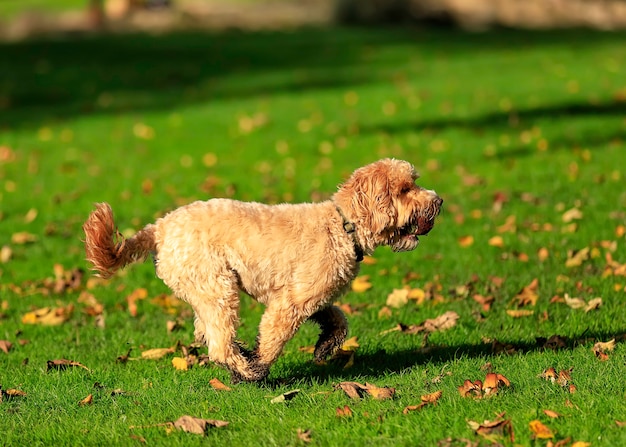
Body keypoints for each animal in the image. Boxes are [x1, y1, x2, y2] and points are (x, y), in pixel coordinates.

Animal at [83, 159, 442, 384]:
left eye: (414, 183)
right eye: (405, 189)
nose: (438, 201)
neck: (342, 226)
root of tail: (159, 228)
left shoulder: (313, 296)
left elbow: (338, 319)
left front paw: (326, 345)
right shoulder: (290, 302)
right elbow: (273, 339)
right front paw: (260, 363)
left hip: (204, 290)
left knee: (208, 332)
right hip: (219, 286)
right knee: (219, 345)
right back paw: (247, 370)